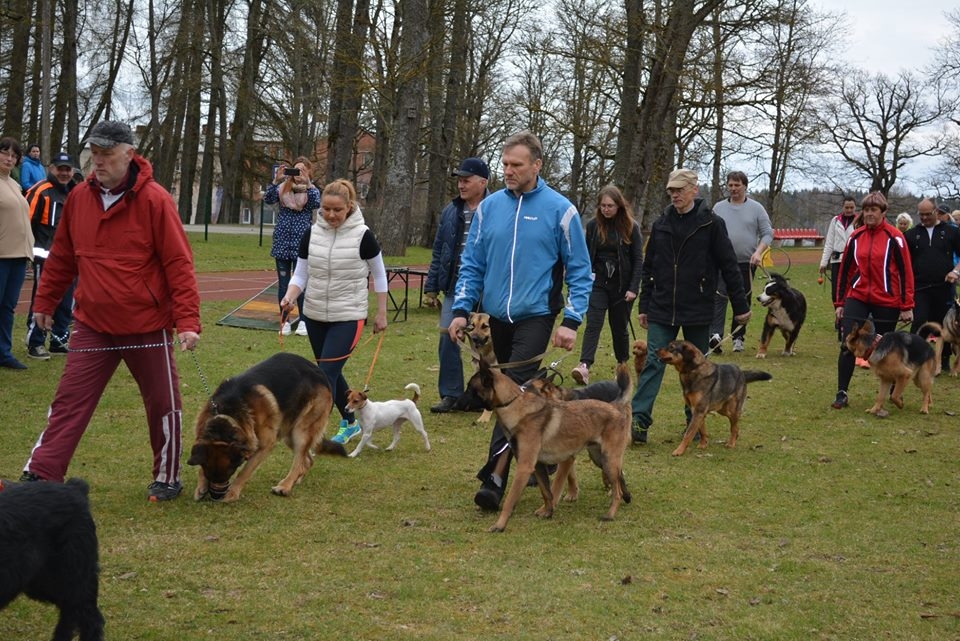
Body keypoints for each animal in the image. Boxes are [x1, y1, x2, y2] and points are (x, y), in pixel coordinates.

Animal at [186, 352, 346, 502]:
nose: (216, 497)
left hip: (301, 431)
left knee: (299, 461)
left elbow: (245, 472)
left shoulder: (264, 446)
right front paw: (201, 486)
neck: (228, 413)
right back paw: (295, 480)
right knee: (307, 460)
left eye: (230, 472)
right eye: (210, 475)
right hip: (290, 433)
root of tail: (321, 373)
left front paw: (232, 493)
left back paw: (285, 486)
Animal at [464, 360, 632, 528]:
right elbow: (546, 492)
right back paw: (626, 496)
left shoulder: (525, 467)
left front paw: (499, 525)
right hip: (600, 457)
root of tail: (615, 406)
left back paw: (610, 514)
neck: (515, 405)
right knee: (619, 476)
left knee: (617, 489)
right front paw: (547, 512)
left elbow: (512, 499)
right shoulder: (538, 465)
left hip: (608, 458)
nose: (459, 401)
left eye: (470, 388)